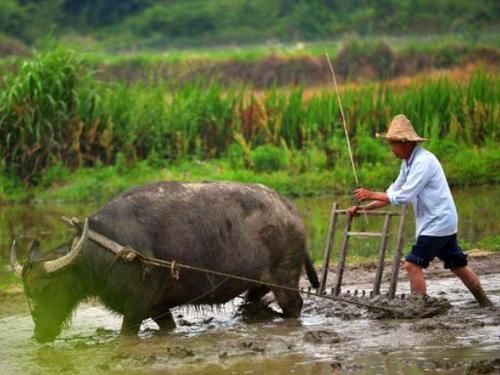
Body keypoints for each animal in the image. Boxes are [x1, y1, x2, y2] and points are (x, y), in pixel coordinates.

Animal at [11, 182, 320, 344]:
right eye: (28, 293)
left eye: (48, 289)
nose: (40, 334)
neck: (108, 251)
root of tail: (290, 211)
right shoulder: (157, 307)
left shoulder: (135, 309)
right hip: (256, 285)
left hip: (285, 280)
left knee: (294, 307)